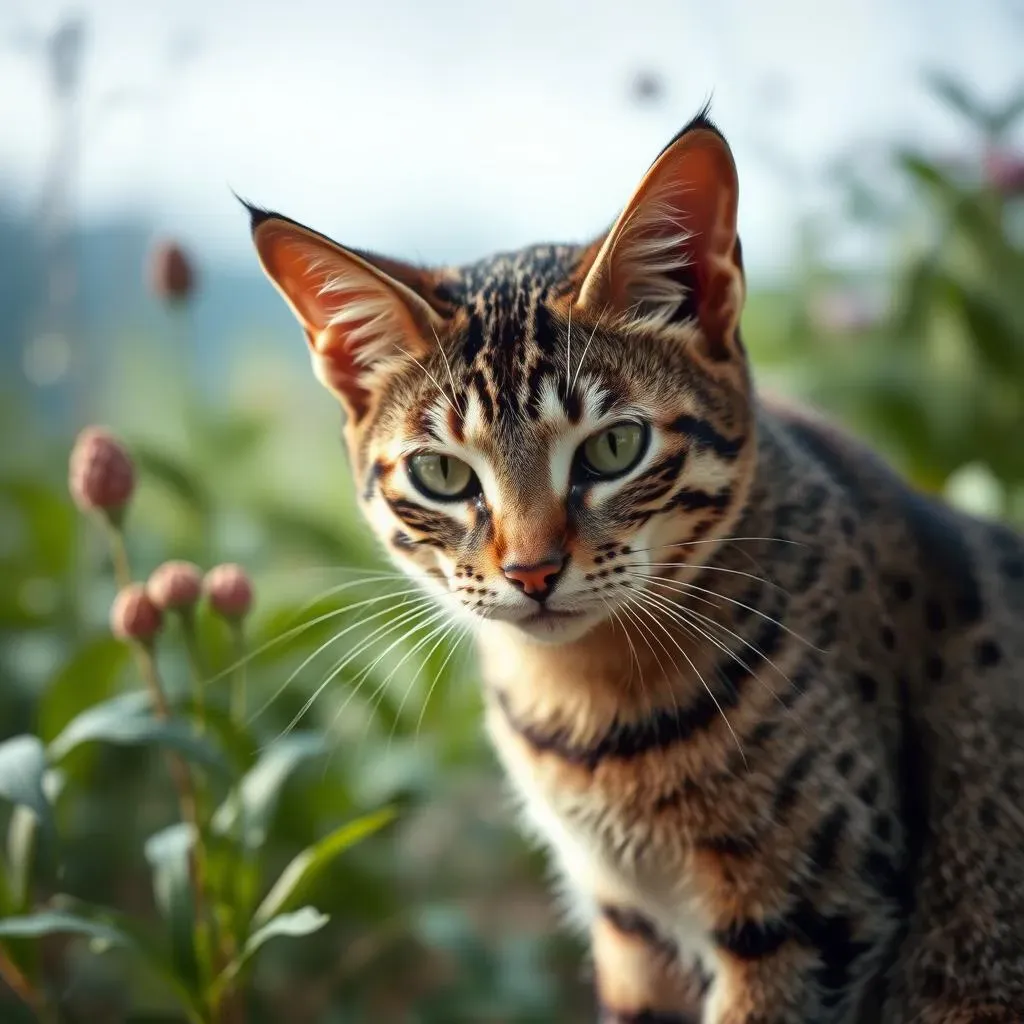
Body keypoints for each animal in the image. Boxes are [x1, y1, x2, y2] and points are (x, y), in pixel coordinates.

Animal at [245, 108, 1024, 1019]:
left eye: (615, 448)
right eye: (442, 473)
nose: (532, 571)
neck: (590, 717)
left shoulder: (814, 917)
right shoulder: (630, 925)